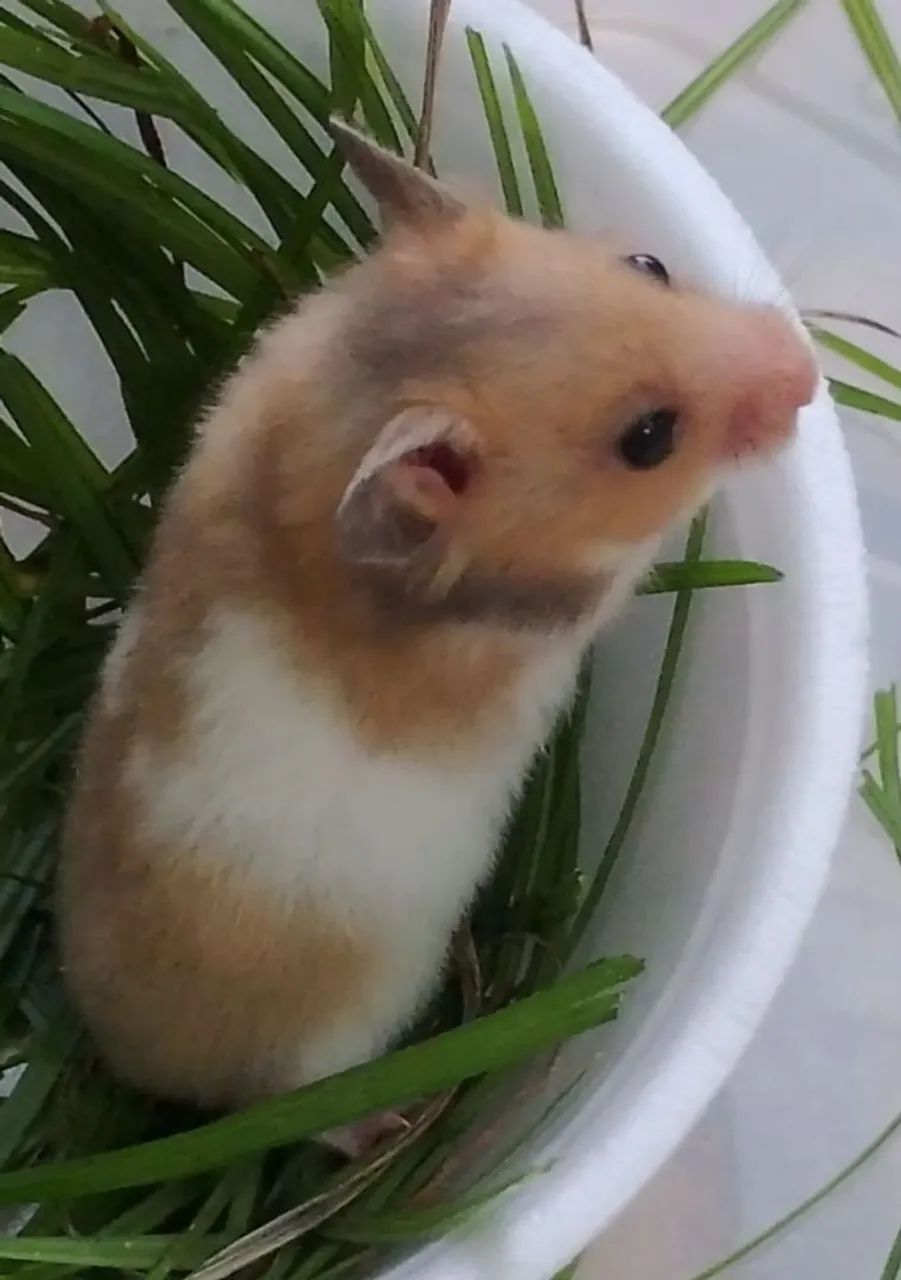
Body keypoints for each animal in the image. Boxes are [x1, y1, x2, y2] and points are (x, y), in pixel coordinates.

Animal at [59, 120, 817, 1111]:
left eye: (650, 263)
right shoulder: (567, 604)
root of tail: (118, 1054)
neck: (338, 412)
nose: (808, 375)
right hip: (321, 1050)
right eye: (648, 438)